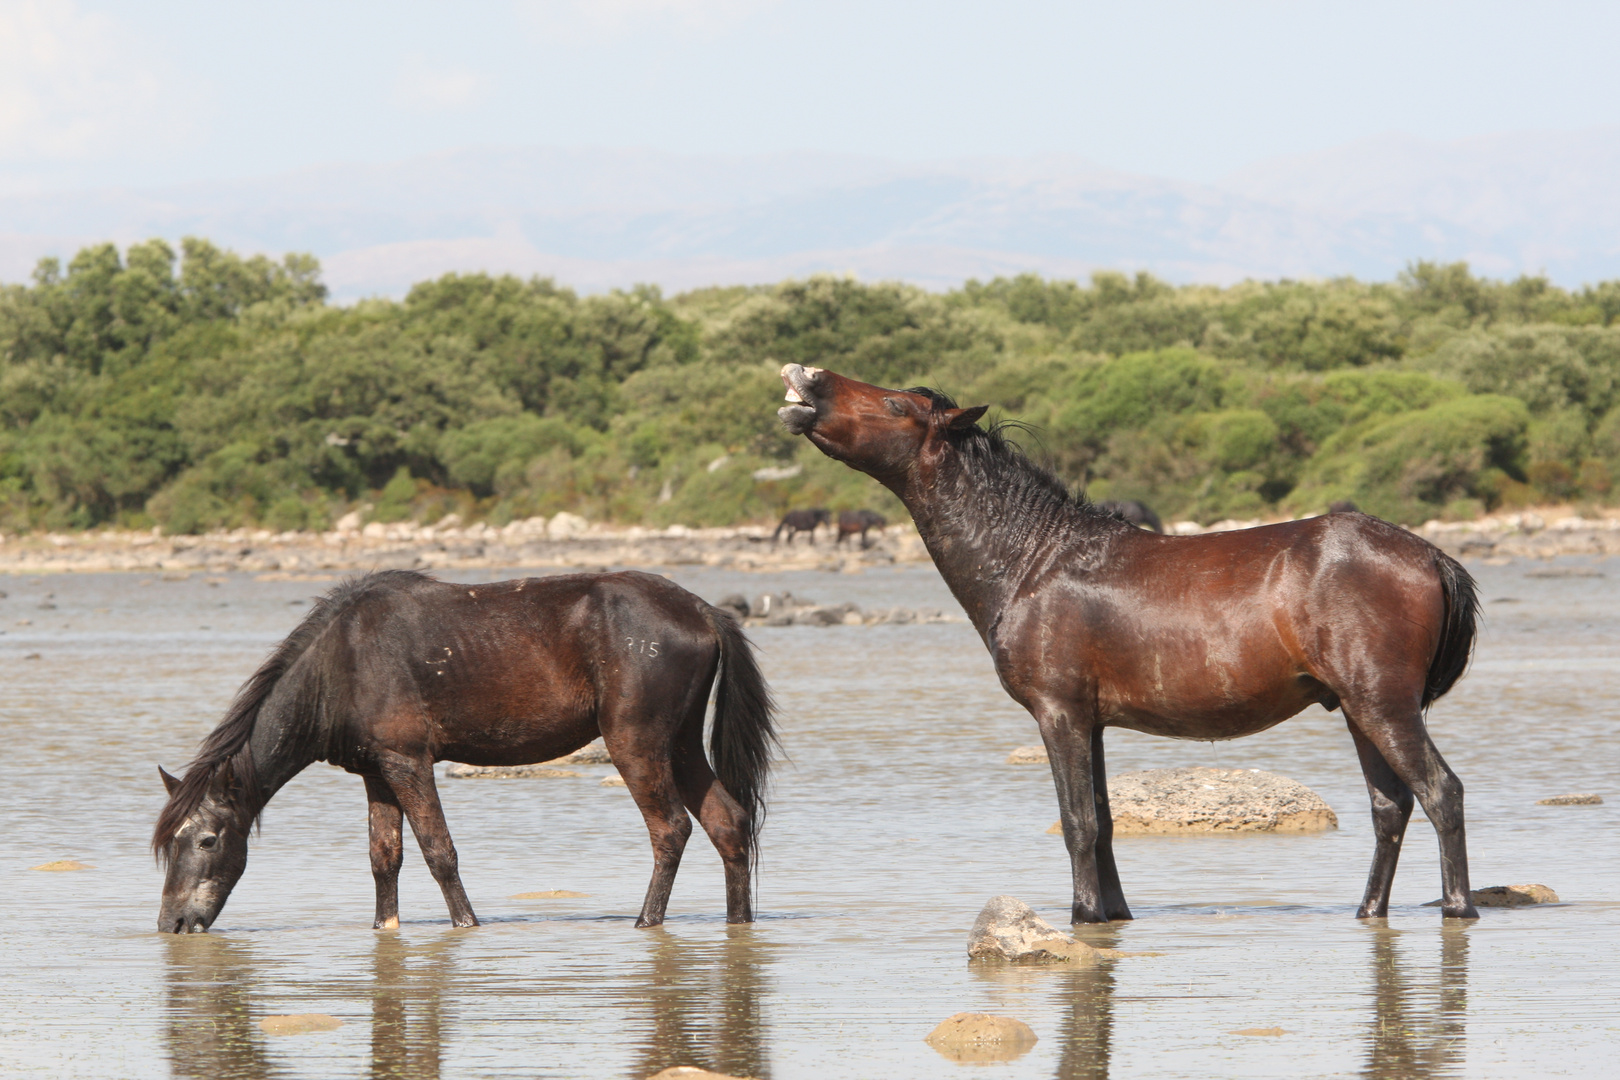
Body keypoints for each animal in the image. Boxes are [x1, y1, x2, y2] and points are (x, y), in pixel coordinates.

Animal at [153, 569, 777, 932]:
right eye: (170, 843)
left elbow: (438, 851)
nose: (172, 923)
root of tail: (703, 611)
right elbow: (384, 858)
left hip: (636, 744)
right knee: (727, 822)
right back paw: (737, 922)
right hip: (681, 743)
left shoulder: (409, 762)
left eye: (208, 839)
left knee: (670, 829)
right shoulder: (376, 772)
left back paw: (646, 922)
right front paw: (385, 930)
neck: (341, 661)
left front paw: (466, 924)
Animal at [780, 362, 1483, 919]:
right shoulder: (1090, 719)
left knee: (1440, 792)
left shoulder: (1058, 711)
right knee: (1391, 807)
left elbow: (1078, 821)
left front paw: (1085, 914)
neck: (1031, 558)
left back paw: (1458, 905)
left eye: (897, 405)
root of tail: (1429, 554)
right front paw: (1112, 912)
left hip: (1383, 704)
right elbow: (1105, 821)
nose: (806, 377)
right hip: (1360, 710)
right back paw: (1368, 910)